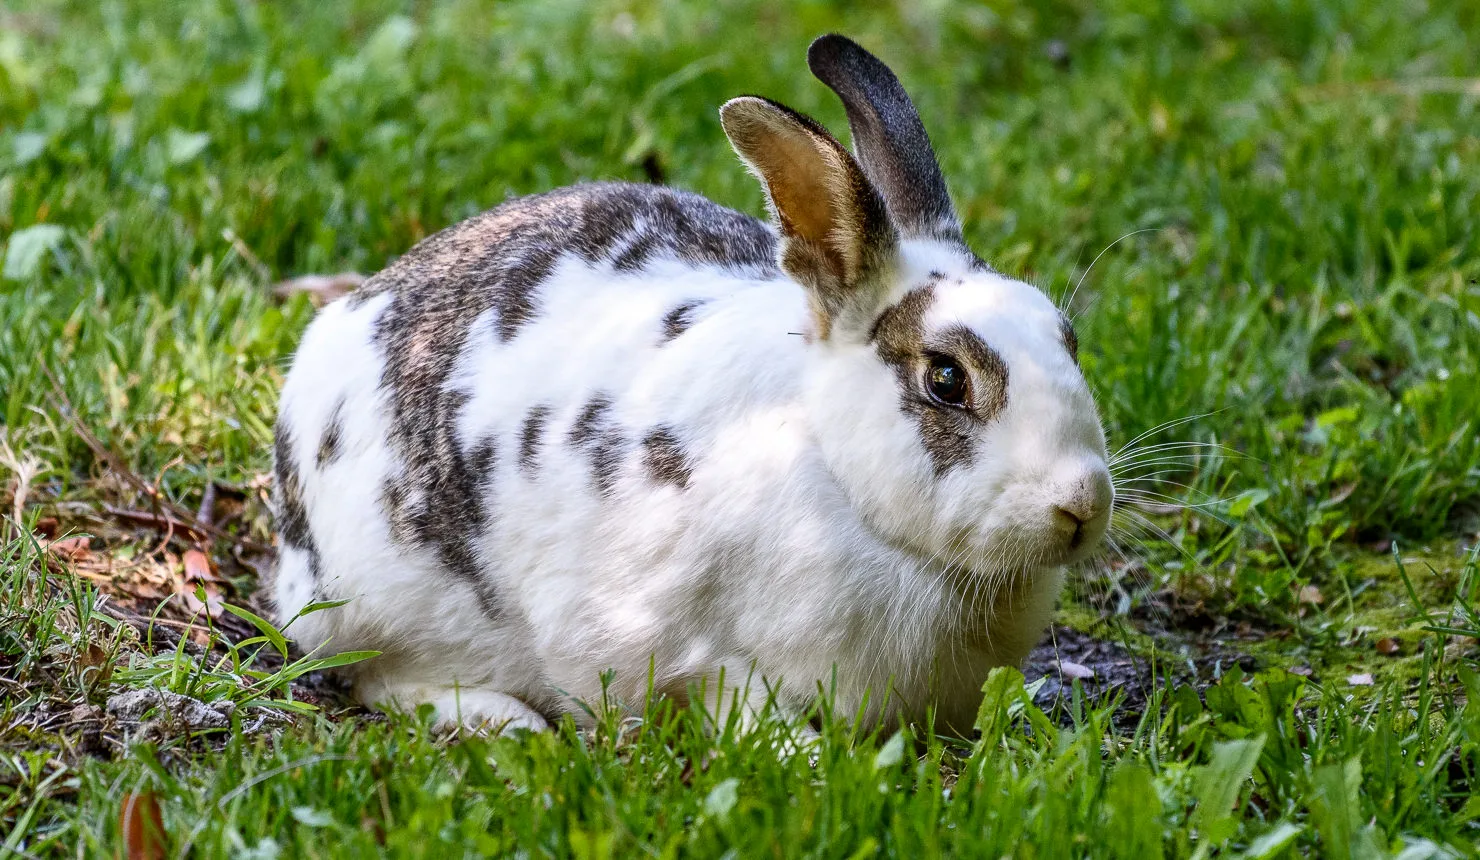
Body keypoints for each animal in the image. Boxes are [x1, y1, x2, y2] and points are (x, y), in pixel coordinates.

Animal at [269, 33, 1113, 736]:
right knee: (370, 674)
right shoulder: (690, 654)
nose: (1082, 504)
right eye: (946, 379)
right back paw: (504, 723)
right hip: (370, 603)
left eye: (1068, 341)